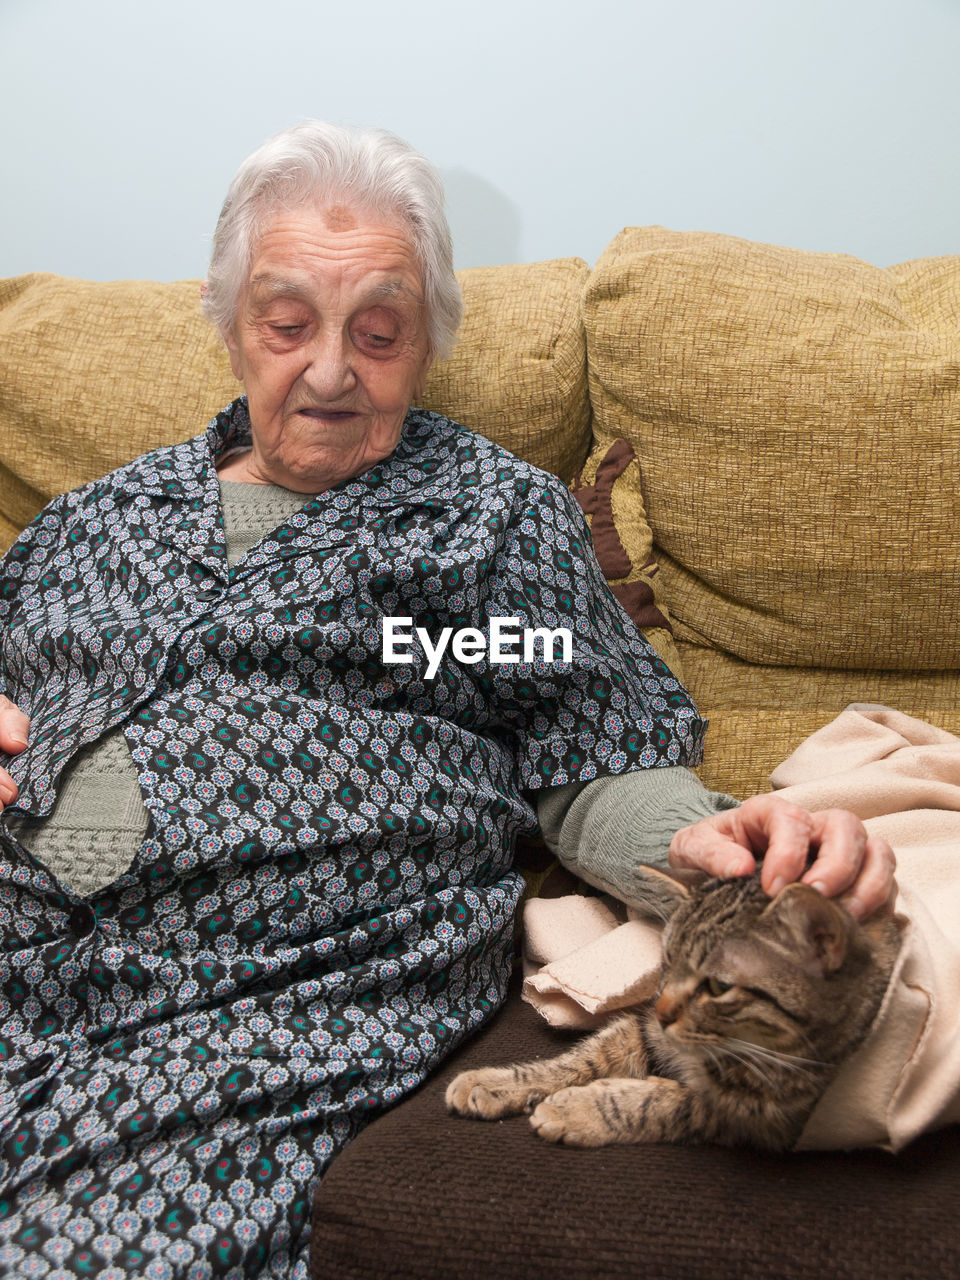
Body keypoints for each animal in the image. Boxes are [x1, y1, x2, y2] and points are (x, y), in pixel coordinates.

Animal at [448, 875, 906, 1157]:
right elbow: (576, 1061)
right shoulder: (643, 1030)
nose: (663, 1009)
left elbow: (651, 1102)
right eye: (667, 958)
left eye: (718, 987)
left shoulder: (765, 1119)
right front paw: (495, 1083)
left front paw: (576, 1110)